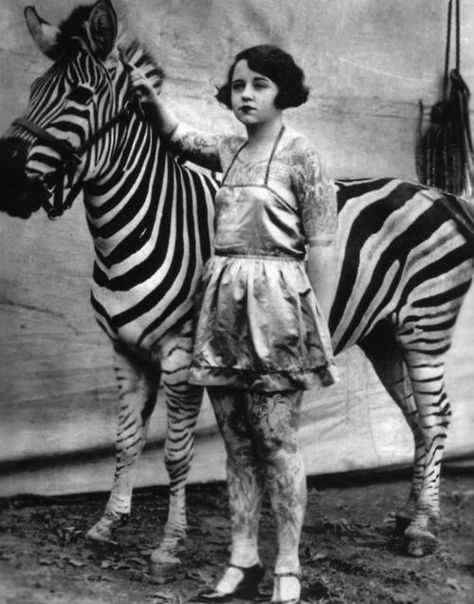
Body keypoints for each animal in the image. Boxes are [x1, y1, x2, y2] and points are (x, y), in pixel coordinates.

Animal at [0, 0, 472, 568]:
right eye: (32, 90)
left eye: (81, 96)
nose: (3, 182)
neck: (141, 224)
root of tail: (440, 194)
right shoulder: (125, 350)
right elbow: (127, 440)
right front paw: (107, 523)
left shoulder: (180, 354)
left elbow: (175, 453)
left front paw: (169, 545)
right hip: (387, 336)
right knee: (418, 418)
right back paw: (409, 515)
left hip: (426, 326)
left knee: (438, 414)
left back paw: (423, 527)